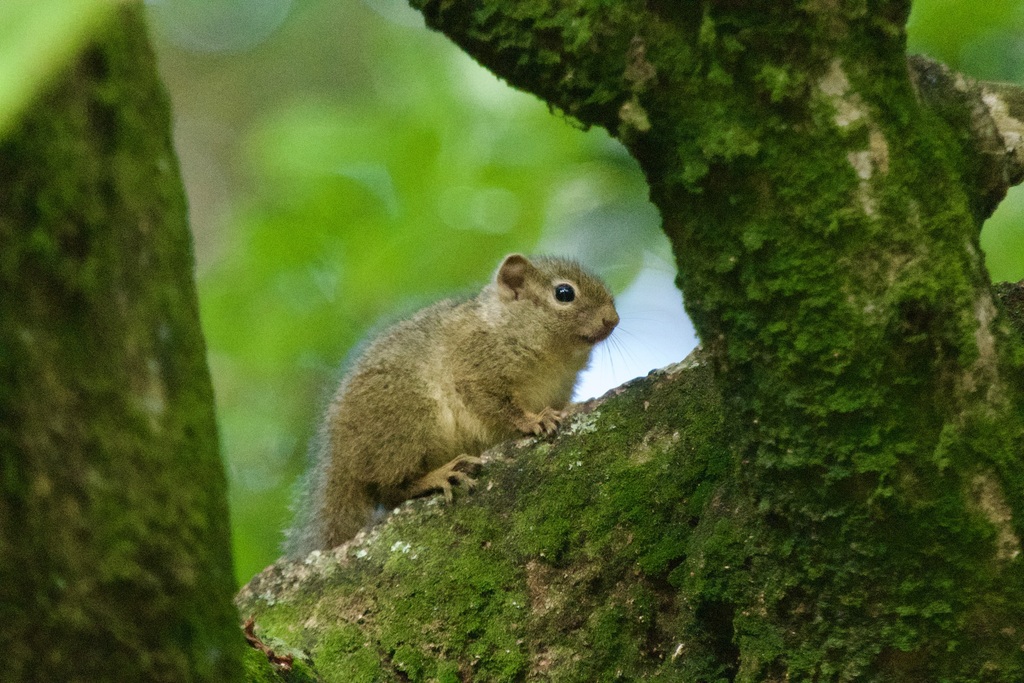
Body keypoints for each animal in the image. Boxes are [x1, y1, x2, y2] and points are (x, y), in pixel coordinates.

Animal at [285, 253, 619, 557]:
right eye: (564, 293)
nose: (612, 320)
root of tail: (340, 455)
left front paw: (574, 407)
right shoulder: (474, 366)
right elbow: (496, 405)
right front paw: (533, 421)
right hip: (407, 420)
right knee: (392, 490)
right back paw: (438, 476)